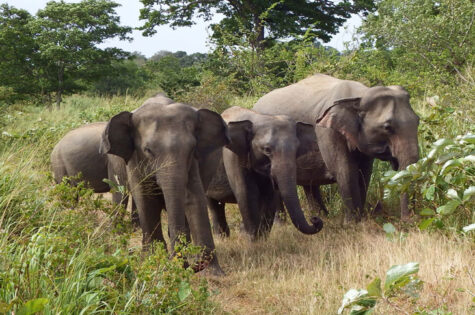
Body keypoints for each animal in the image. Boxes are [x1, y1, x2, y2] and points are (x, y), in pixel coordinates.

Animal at [101, 94, 231, 276]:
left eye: (192, 148)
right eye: (148, 150)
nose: (195, 266)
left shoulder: (193, 162)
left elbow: (194, 198)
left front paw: (213, 273)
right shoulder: (135, 158)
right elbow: (145, 199)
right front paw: (154, 262)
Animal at [203, 107, 326, 241]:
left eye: (297, 149)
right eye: (267, 149)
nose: (315, 219)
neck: (259, 117)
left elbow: (268, 197)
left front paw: (261, 240)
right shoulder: (232, 156)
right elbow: (246, 194)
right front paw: (252, 241)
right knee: (213, 204)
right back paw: (221, 238)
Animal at [253, 74, 420, 222]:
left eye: (418, 120)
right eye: (387, 127)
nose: (407, 221)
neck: (358, 97)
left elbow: (364, 174)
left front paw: (362, 219)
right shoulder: (326, 132)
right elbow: (345, 171)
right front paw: (353, 224)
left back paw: (322, 218)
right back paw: (281, 224)